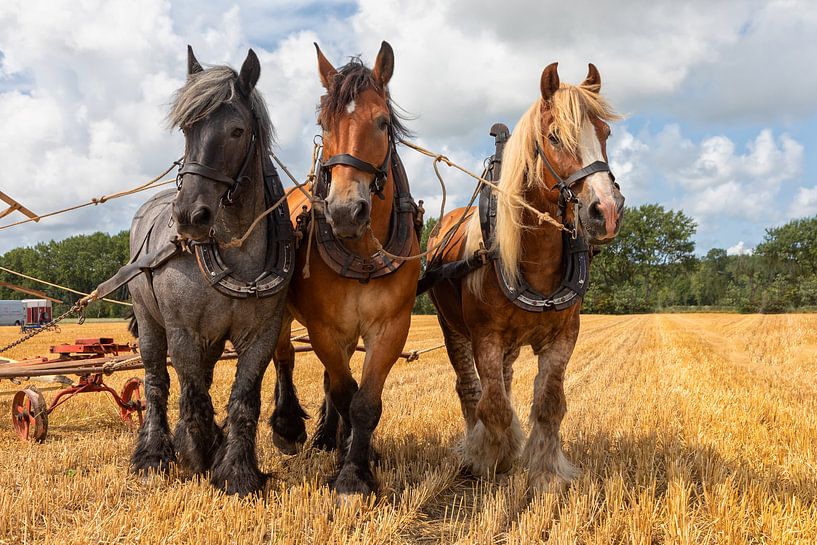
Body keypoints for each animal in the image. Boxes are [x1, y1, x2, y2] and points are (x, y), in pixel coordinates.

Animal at [127, 46, 292, 496]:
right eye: (187, 127)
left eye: (237, 130)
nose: (189, 216)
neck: (237, 248)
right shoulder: (182, 330)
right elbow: (192, 393)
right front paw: (195, 452)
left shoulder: (261, 333)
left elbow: (243, 399)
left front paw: (236, 470)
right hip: (150, 322)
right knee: (156, 380)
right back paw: (153, 451)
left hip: (213, 337)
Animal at [268, 41, 422, 496]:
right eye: (324, 122)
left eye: (383, 122)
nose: (343, 212)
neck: (362, 253)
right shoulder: (323, 327)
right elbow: (343, 391)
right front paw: (347, 465)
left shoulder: (391, 326)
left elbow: (364, 401)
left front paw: (356, 466)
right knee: (283, 355)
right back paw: (290, 427)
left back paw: (328, 436)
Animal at [426, 62, 624, 491]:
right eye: (554, 136)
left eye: (605, 133)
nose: (607, 210)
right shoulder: (485, 337)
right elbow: (494, 406)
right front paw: (490, 457)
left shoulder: (565, 335)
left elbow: (549, 403)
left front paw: (547, 472)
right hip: (453, 330)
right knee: (470, 389)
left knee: (504, 378)